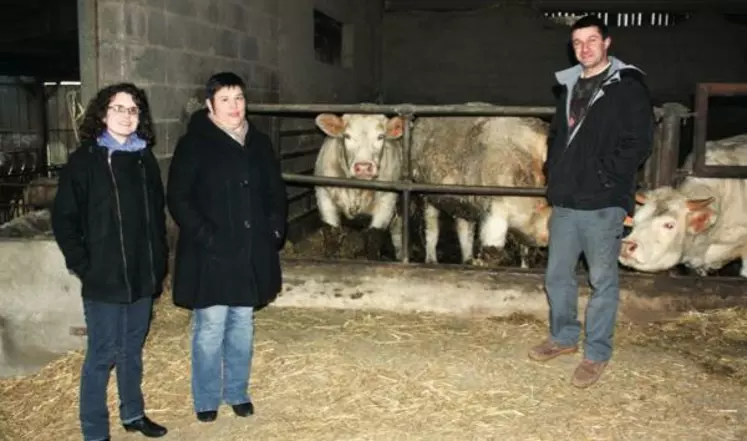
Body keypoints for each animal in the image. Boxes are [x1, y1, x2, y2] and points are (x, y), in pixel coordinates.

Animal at [312, 112, 406, 262]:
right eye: (347, 136)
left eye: (380, 136)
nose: (363, 167)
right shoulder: (323, 196)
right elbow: (331, 231)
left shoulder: (387, 202)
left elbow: (374, 236)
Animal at [412, 114, 552, 264]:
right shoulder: (495, 203)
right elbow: (493, 246)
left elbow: (525, 251)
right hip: (424, 192)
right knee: (431, 225)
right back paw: (432, 261)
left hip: (463, 202)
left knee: (464, 228)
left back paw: (467, 260)